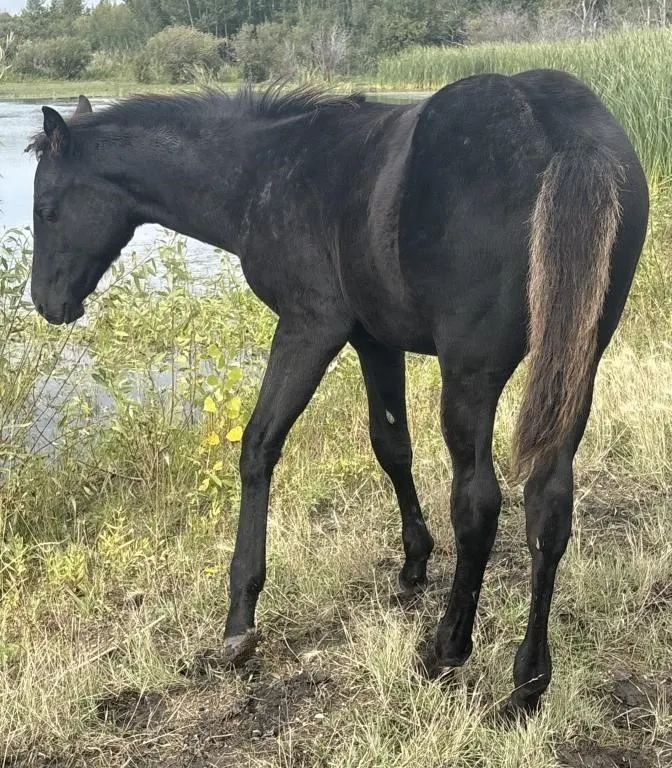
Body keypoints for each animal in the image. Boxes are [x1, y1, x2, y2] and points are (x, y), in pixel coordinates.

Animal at [27, 73, 649, 719]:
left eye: (47, 209)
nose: (47, 303)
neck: (266, 169)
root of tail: (557, 130)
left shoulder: (311, 327)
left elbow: (259, 447)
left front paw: (239, 622)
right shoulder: (375, 340)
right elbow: (391, 445)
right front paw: (413, 563)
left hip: (471, 375)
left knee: (478, 504)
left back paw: (446, 651)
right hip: (574, 370)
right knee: (548, 505)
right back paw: (528, 681)